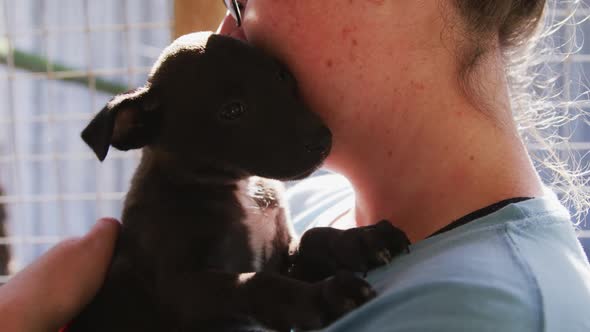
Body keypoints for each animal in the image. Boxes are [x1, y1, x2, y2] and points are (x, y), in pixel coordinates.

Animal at [69, 31, 410, 332]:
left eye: (282, 77)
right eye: (232, 110)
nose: (323, 141)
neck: (240, 187)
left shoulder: (279, 255)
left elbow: (313, 236)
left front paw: (364, 239)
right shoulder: (181, 289)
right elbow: (256, 283)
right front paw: (324, 297)